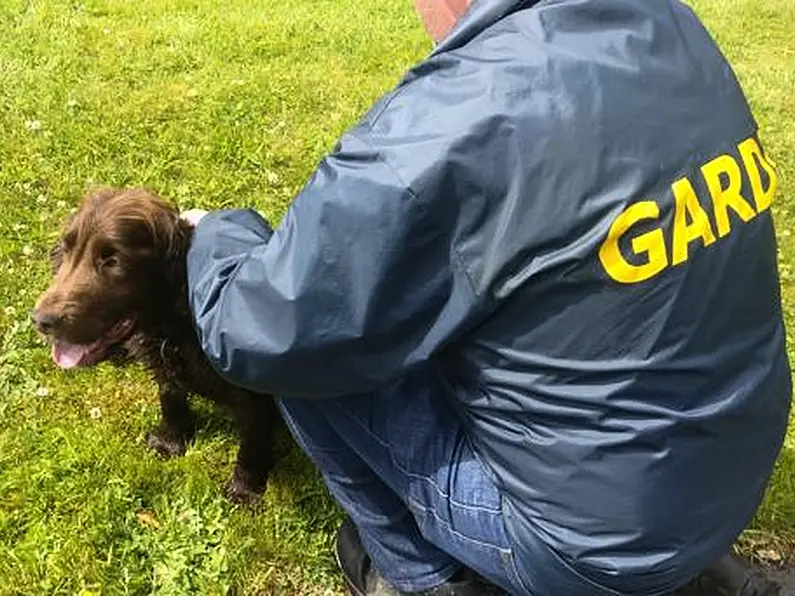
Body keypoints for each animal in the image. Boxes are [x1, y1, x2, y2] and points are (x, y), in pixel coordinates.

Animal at [34, 189, 282, 506]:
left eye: (113, 260)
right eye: (66, 250)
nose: (41, 320)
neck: (176, 327)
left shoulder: (252, 392)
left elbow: (252, 442)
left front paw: (244, 490)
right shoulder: (164, 364)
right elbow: (171, 399)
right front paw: (170, 442)